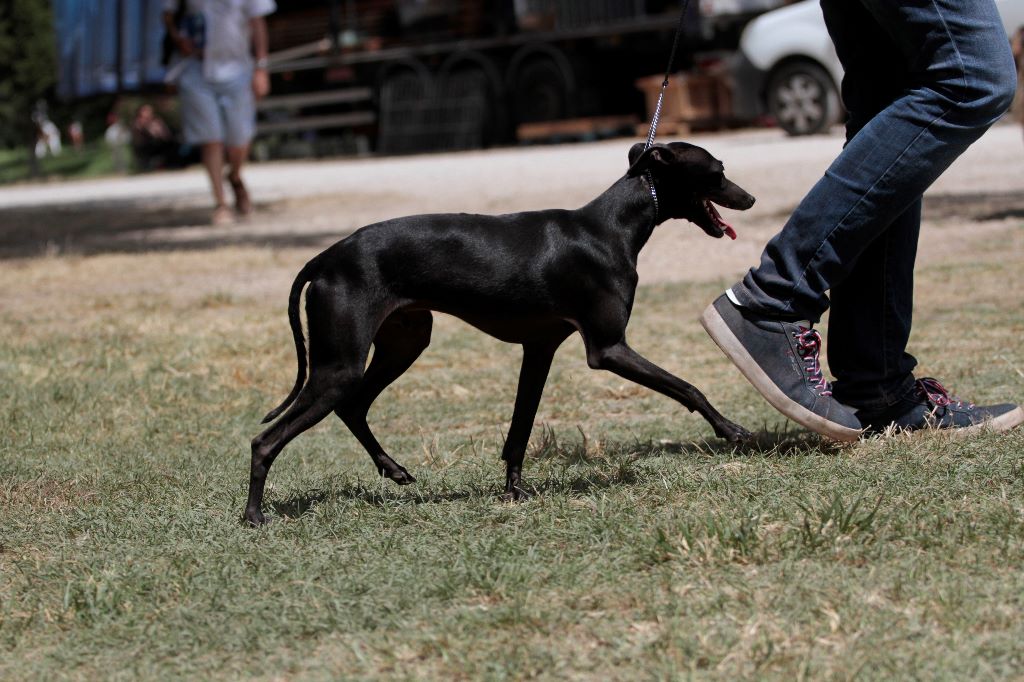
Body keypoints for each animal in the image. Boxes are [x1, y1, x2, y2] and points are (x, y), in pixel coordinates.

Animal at [246, 140, 757, 522]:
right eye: (718, 171)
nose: (750, 199)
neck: (610, 227)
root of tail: (326, 256)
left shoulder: (540, 348)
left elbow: (520, 428)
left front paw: (513, 490)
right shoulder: (608, 349)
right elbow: (687, 386)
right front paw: (732, 430)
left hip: (404, 342)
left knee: (353, 406)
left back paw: (393, 470)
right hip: (340, 366)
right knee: (265, 440)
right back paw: (254, 515)